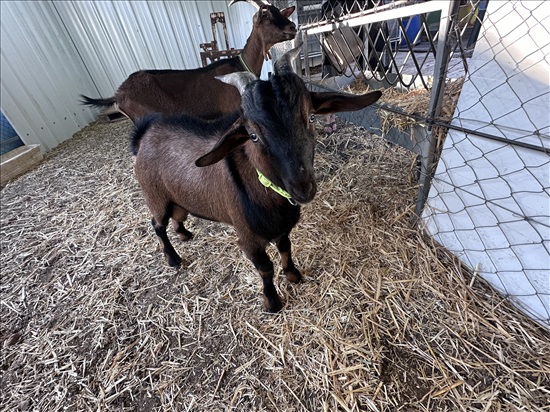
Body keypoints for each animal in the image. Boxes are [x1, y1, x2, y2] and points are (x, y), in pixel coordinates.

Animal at [134, 45, 384, 312]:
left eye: (311, 117)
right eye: (253, 135)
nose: (302, 188)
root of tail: (144, 136)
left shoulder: (283, 230)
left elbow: (286, 249)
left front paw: (293, 275)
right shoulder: (249, 240)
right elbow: (265, 269)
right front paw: (272, 302)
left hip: (178, 197)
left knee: (178, 215)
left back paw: (184, 233)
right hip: (155, 196)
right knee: (157, 224)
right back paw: (173, 258)